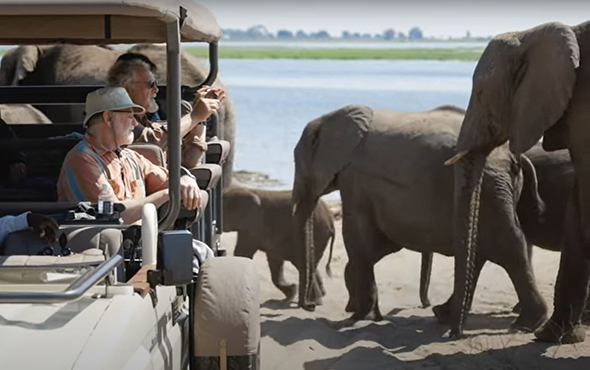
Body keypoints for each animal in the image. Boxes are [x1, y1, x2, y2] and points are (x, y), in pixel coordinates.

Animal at [292, 104, 552, 332]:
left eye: (297, 164)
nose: (310, 306)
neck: (329, 118)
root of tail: (514, 156)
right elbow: (380, 243)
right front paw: (366, 313)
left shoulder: (353, 177)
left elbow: (357, 235)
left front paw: (359, 317)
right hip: (494, 188)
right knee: (481, 247)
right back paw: (445, 314)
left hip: (489, 185)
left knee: (505, 244)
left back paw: (526, 323)